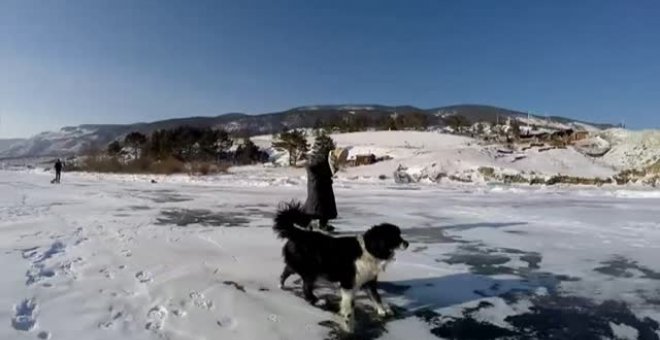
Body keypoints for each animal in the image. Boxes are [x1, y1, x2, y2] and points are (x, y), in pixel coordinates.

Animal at [272, 202, 408, 332]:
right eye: (395, 237)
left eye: (400, 235)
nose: (407, 243)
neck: (368, 250)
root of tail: (298, 233)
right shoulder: (348, 282)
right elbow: (349, 304)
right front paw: (349, 324)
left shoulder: (369, 280)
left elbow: (376, 296)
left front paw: (382, 311)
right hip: (311, 270)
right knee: (306, 287)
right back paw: (316, 300)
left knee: (287, 271)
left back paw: (281, 284)